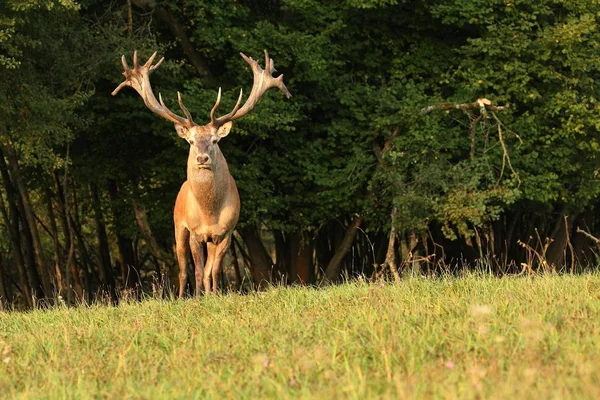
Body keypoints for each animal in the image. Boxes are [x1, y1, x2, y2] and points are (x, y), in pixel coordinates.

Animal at [113, 50, 292, 296]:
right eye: (190, 141)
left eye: (215, 140)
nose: (202, 158)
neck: (210, 213)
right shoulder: (194, 232)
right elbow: (196, 270)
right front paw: (197, 297)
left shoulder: (227, 232)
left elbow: (213, 270)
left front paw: (216, 294)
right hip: (178, 226)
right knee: (182, 269)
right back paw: (182, 296)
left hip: (210, 239)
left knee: (207, 269)